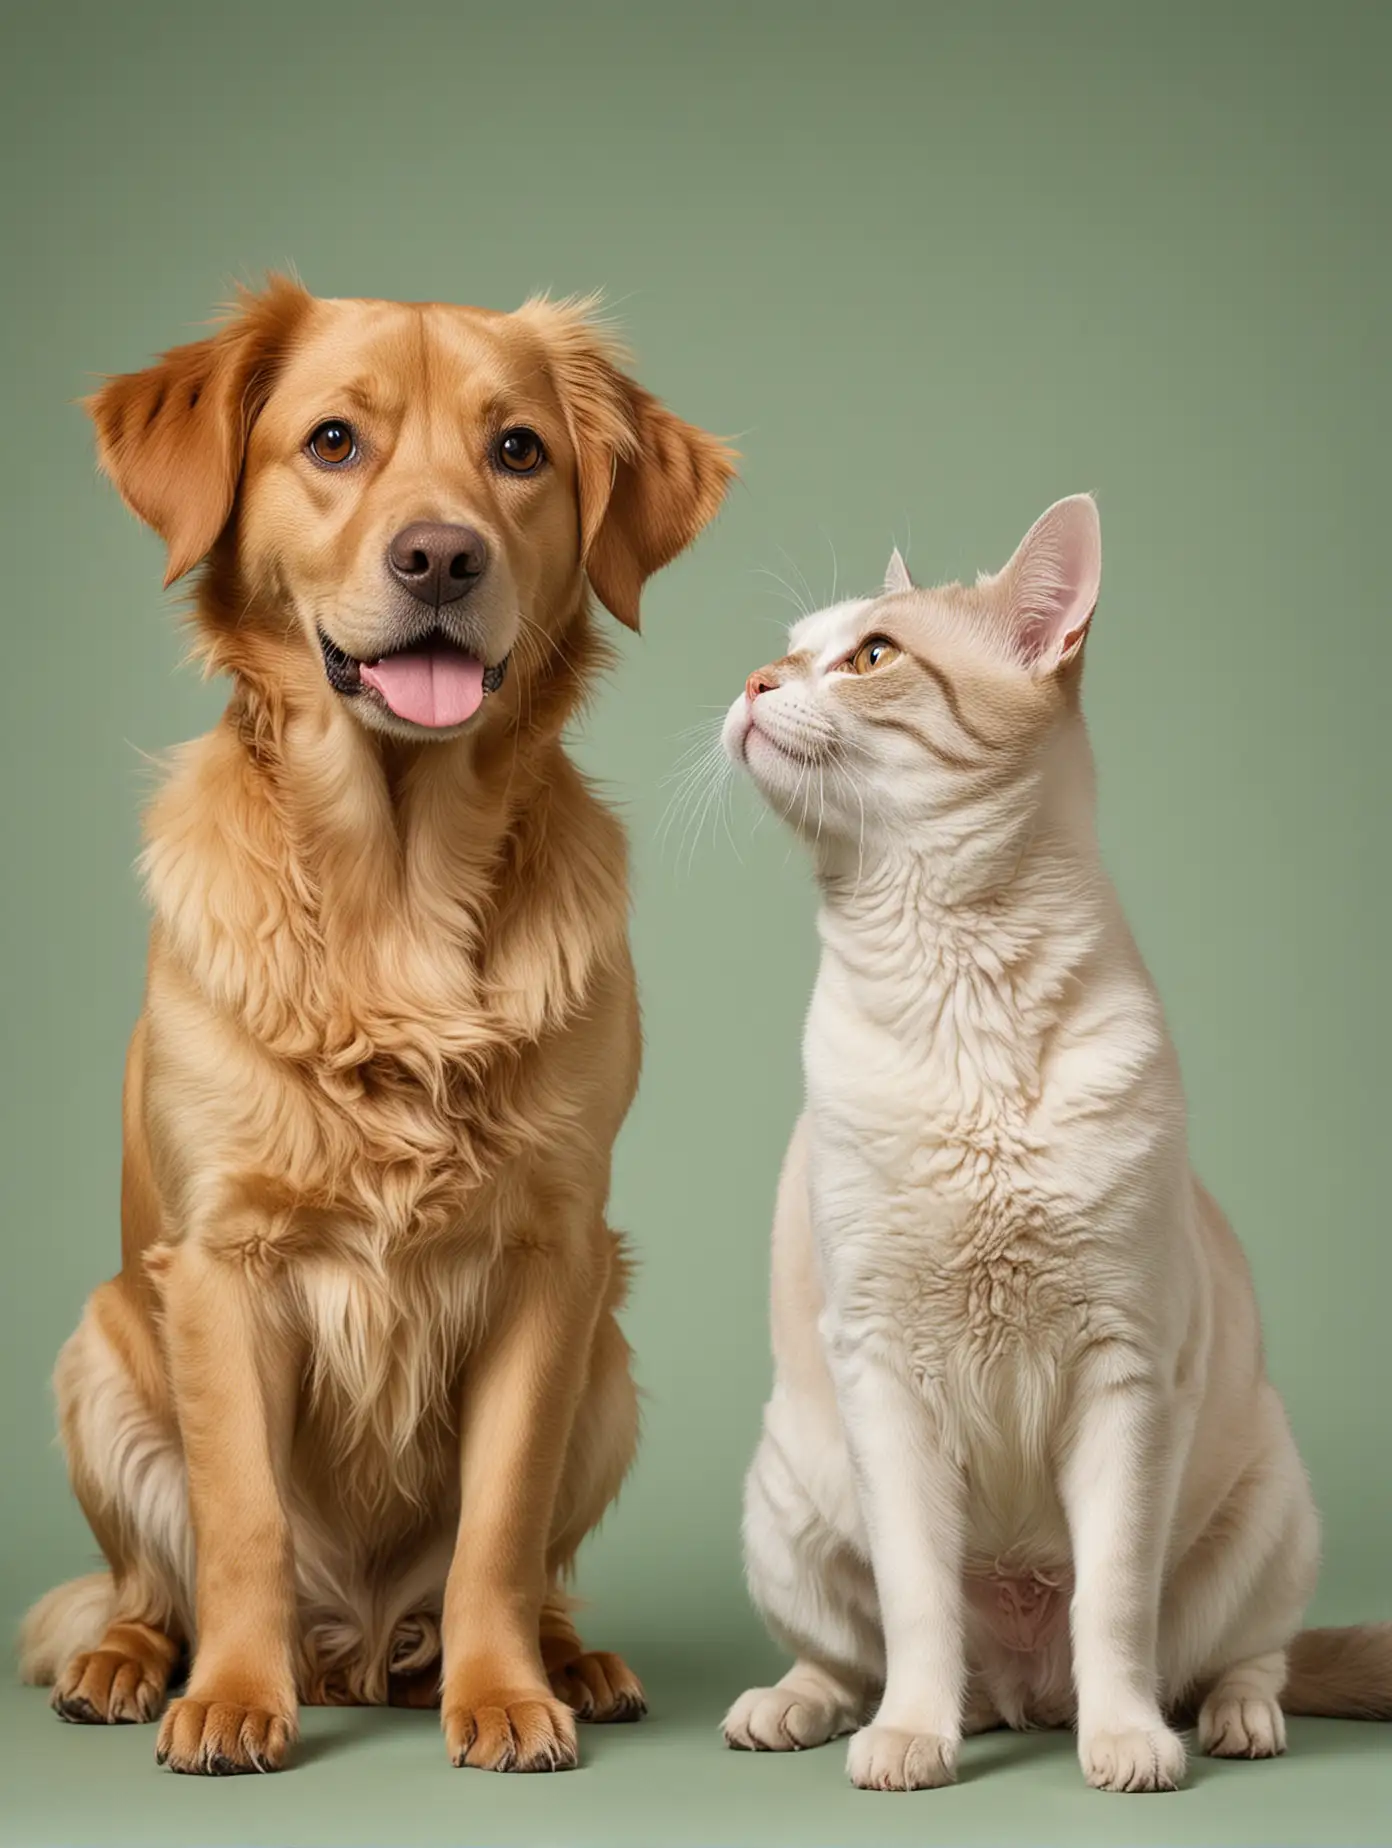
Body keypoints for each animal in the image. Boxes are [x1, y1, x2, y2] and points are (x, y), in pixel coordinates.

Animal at [16, 277, 732, 1774]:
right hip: (95, 1356)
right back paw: (130, 1666)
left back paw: (570, 1663)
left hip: (612, 1369)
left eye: (518, 451)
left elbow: (499, 1533)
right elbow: (239, 1523)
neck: (394, 887)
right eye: (334, 440)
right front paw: (232, 1700)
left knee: (530, 1571)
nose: (442, 558)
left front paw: (504, 1695)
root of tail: (354, 1647)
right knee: (142, 1582)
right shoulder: (221, 1266)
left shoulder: (551, 1265)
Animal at [717, 498, 1390, 1796]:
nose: (752, 683)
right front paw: (911, 1741)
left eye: (871, 656)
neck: (953, 980)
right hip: (784, 1500)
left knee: (1246, 1657)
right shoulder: (882, 1366)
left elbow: (1114, 1608)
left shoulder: (1125, 1366)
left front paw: (1126, 1743)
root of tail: (1022, 1695)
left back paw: (1229, 1722)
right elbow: (917, 1602)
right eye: (784, 651)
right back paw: (804, 1708)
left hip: (1275, 1509)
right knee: (848, 1656)